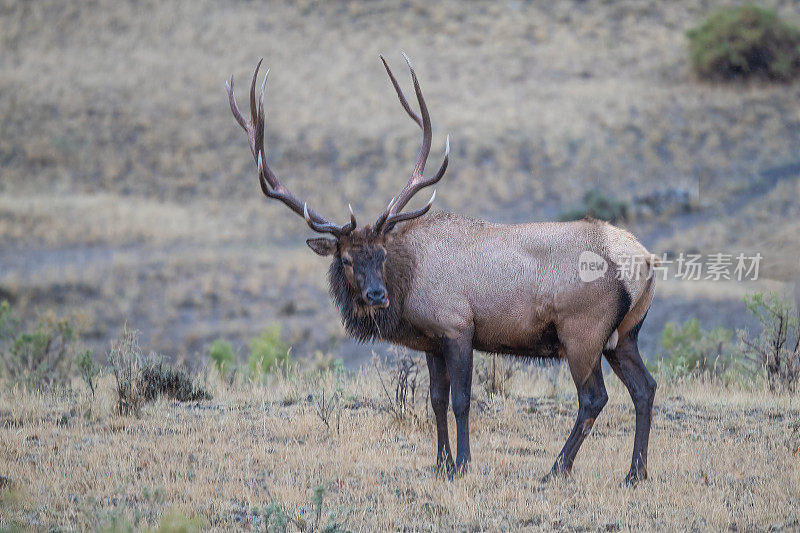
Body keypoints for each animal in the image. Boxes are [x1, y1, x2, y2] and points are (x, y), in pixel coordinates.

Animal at [225, 53, 656, 482]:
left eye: (381, 254)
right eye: (346, 258)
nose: (376, 295)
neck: (409, 285)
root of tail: (645, 261)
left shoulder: (457, 326)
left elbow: (462, 400)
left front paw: (461, 465)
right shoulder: (432, 340)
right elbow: (435, 399)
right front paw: (439, 462)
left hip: (582, 332)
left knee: (594, 397)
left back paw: (557, 469)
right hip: (624, 335)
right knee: (645, 387)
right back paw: (635, 472)